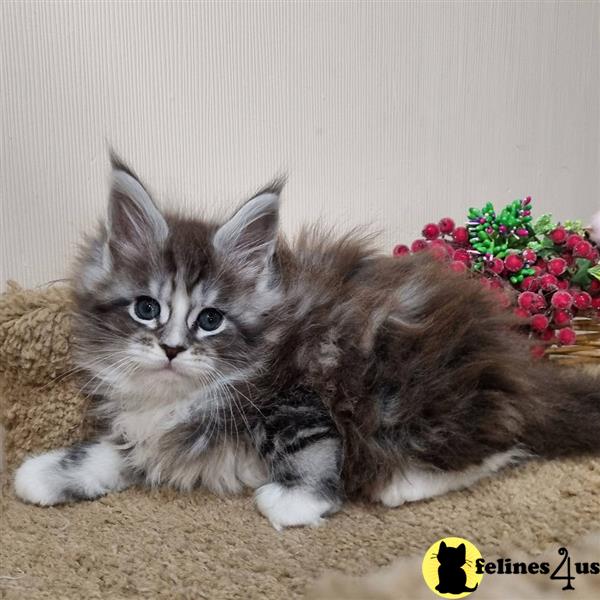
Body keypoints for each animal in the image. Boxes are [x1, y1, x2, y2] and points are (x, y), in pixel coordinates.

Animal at [12, 156, 600, 528]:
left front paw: (297, 502)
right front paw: (45, 474)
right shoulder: (151, 431)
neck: (175, 399)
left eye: (210, 319)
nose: (172, 349)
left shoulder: (296, 397)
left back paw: (400, 484)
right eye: (147, 309)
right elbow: (116, 452)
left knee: (501, 445)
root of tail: (513, 363)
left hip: (399, 396)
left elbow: (312, 448)